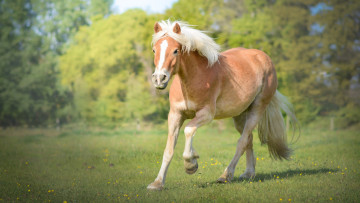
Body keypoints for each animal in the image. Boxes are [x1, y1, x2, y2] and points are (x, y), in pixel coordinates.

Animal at [146, 20, 298, 190]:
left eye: (175, 51)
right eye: (154, 50)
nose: (159, 79)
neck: (194, 78)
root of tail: (264, 58)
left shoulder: (206, 114)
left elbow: (188, 130)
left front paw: (191, 164)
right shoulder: (175, 115)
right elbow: (169, 149)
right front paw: (157, 183)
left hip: (257, 109)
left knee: (242, 142)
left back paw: (226, 175)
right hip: (240, 115)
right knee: (248, 139)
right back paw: (248, 173)